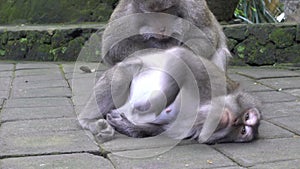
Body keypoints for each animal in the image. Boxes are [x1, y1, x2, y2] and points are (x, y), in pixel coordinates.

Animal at [78, 47, 262, 144]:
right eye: (247, 117)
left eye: (243, 130)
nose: (233, 120)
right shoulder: (212, 85)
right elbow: (183, 57)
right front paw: (149, 104)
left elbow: (156, 129)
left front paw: (127, 125)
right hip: (122, 69)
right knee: (124, 74)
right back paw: (88, 121)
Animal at [102, 0, 231, 70]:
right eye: (153, 14)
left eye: (165, 11)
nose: (162, 29)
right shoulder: (127, 12)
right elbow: (112, 47)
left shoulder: (194, 7)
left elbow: (206, 35)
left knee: (219, 52)